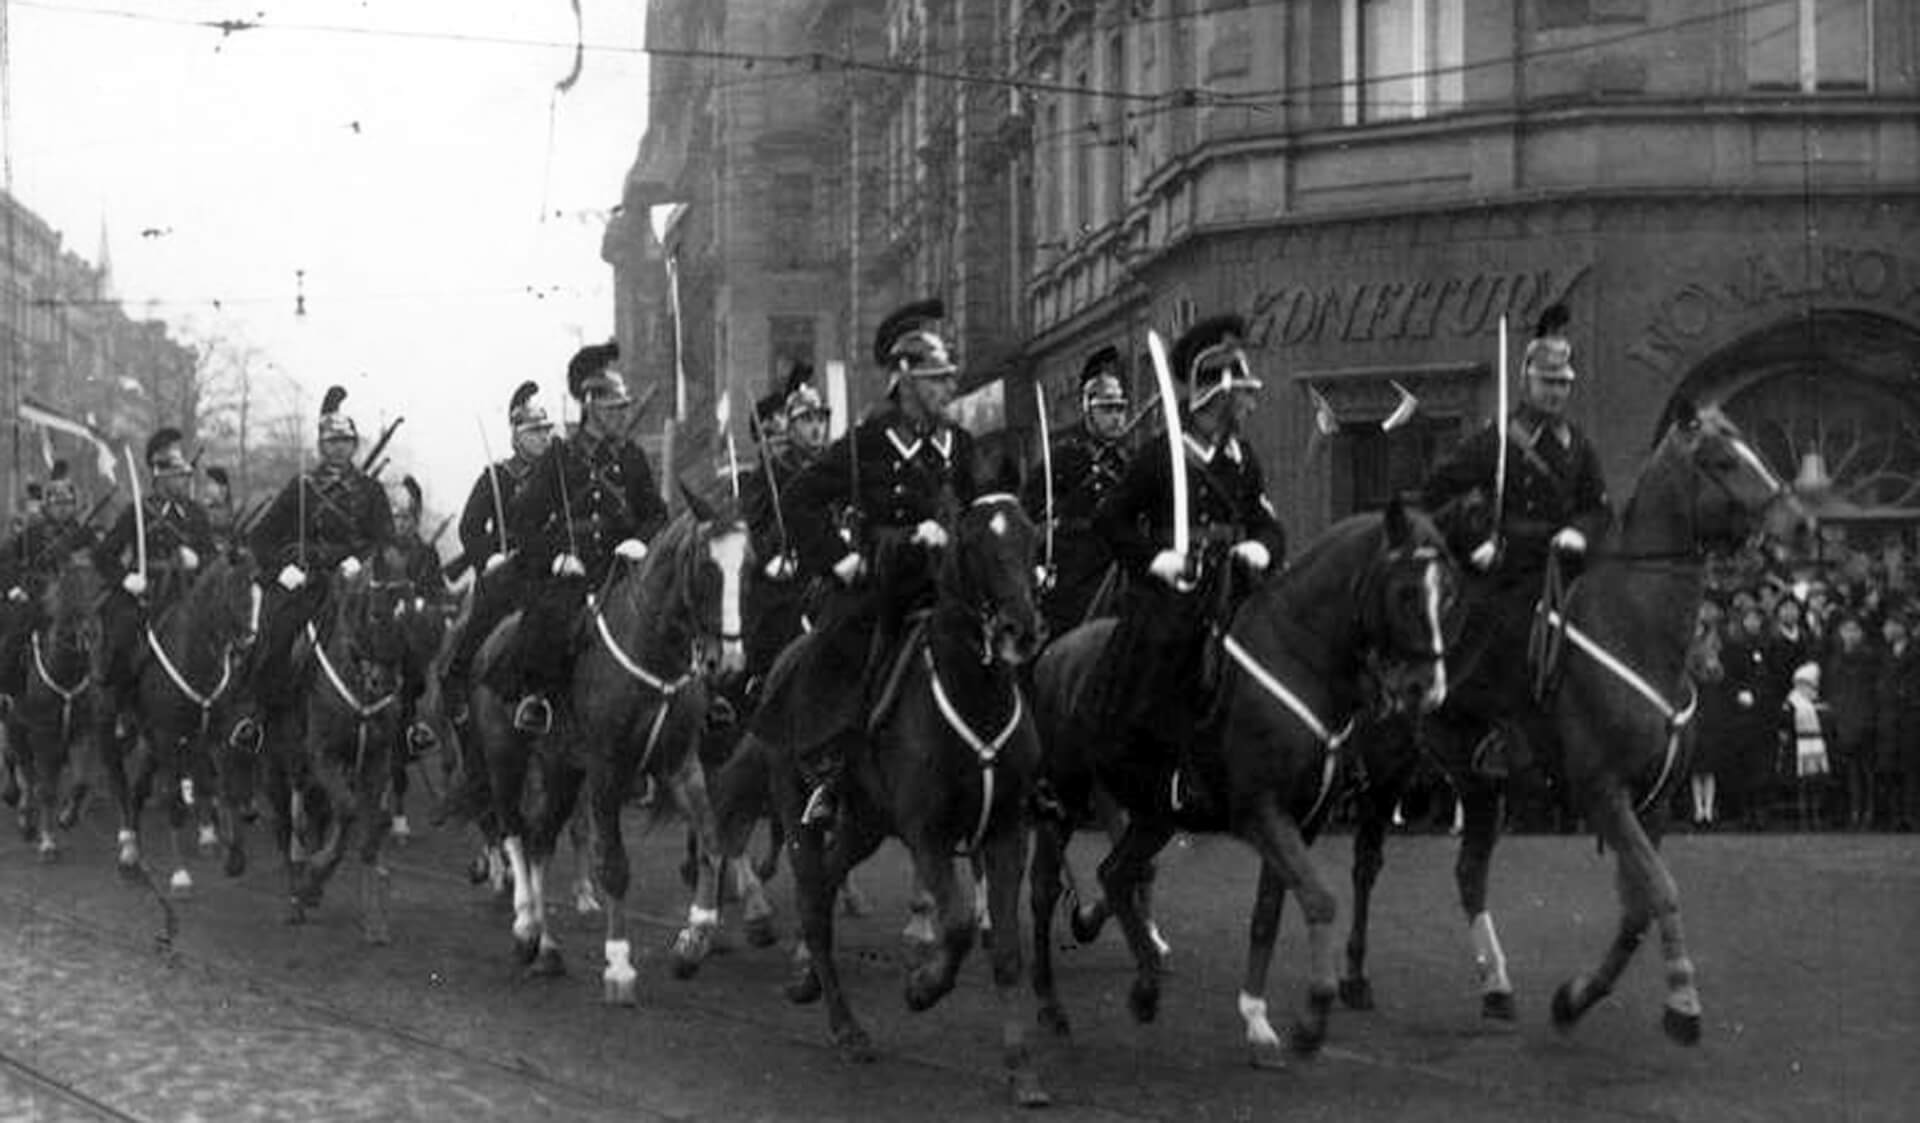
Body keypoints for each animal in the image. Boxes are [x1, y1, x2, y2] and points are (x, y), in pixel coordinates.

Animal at [103, 549, 259, 890]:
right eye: (236, 589)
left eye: (257, 592)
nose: (247, 643)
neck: (194, 658)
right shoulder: (167, 737)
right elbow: (174, 802)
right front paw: (180, 874)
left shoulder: (214, 736)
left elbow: (223, 789)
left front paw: (235, 857)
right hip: (121, 731)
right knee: (122, 783)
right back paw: (127, 847)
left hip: (154, 741)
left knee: (139, 788)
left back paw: (136, 853)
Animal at [1029, 495, 1443, 1067]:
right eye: (1405, 591)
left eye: (1445, 592)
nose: (1426, 688)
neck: (1297, 666)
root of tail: (1056, 651)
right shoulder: (1261, 812)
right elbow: (1320, 899)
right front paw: (1312, 1020)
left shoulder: (1298, 821)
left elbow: (1270, 912)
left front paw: (1258, 1020)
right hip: (1065, 795)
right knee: (1046, 888)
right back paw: (1050, 1005)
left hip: (1156, 814)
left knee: (1115, 873)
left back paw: (1145, 987)